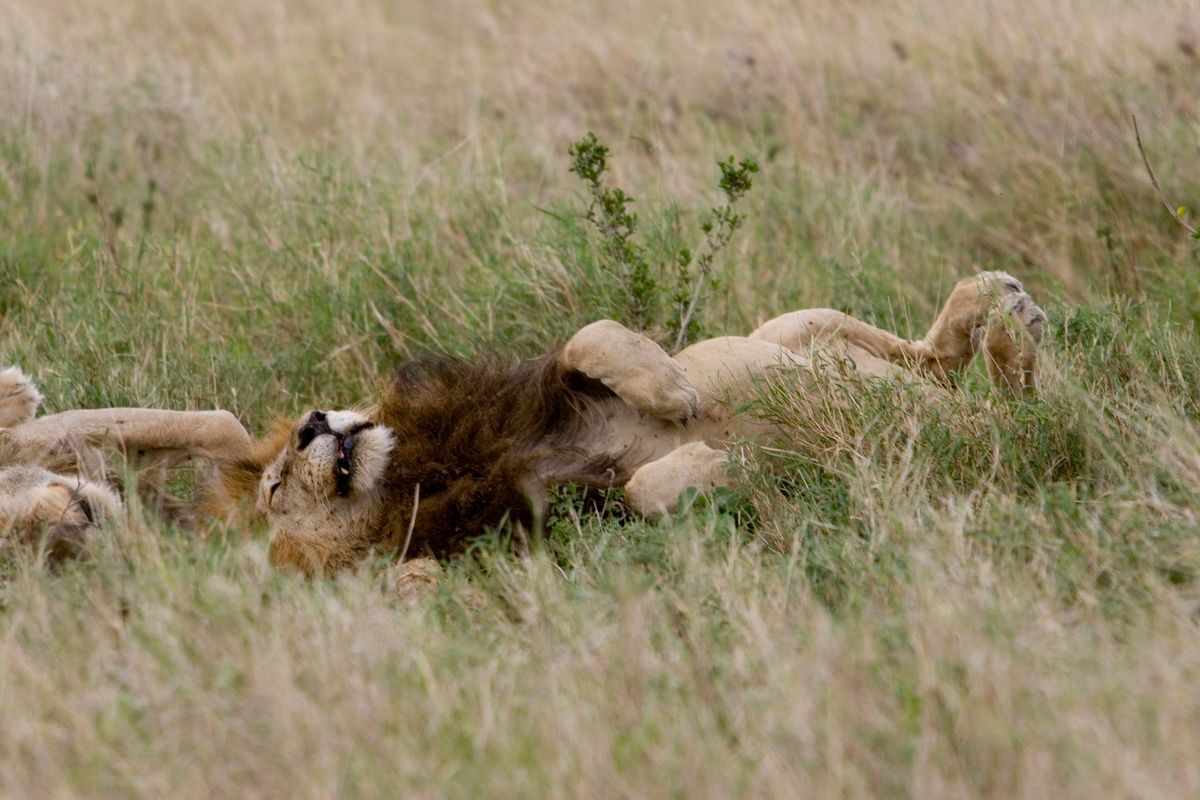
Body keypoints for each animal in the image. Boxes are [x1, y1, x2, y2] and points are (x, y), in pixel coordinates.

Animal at [209, 271, 1046, 586]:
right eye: (277, 492)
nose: (313, 423)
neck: (425, 473)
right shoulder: (563, 524)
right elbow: (644, 490)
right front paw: (711, 462)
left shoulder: (544, 391)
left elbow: (592, 335)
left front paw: (673, 392)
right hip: (957, 437)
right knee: (1004, 413)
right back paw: (1012, 336)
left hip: (794, 327)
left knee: (942, 363)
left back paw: (1003, 308)